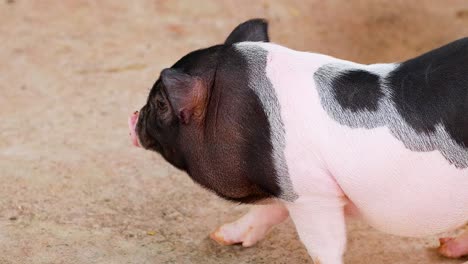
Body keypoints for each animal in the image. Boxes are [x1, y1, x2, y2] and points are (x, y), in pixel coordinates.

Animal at [129, 19, 468, 264]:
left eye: (160, 103)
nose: (133, 116)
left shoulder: (312, 193)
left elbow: (324, 248)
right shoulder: (287, 185)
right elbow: (269, 211)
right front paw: (221, 237)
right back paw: (447, 247)